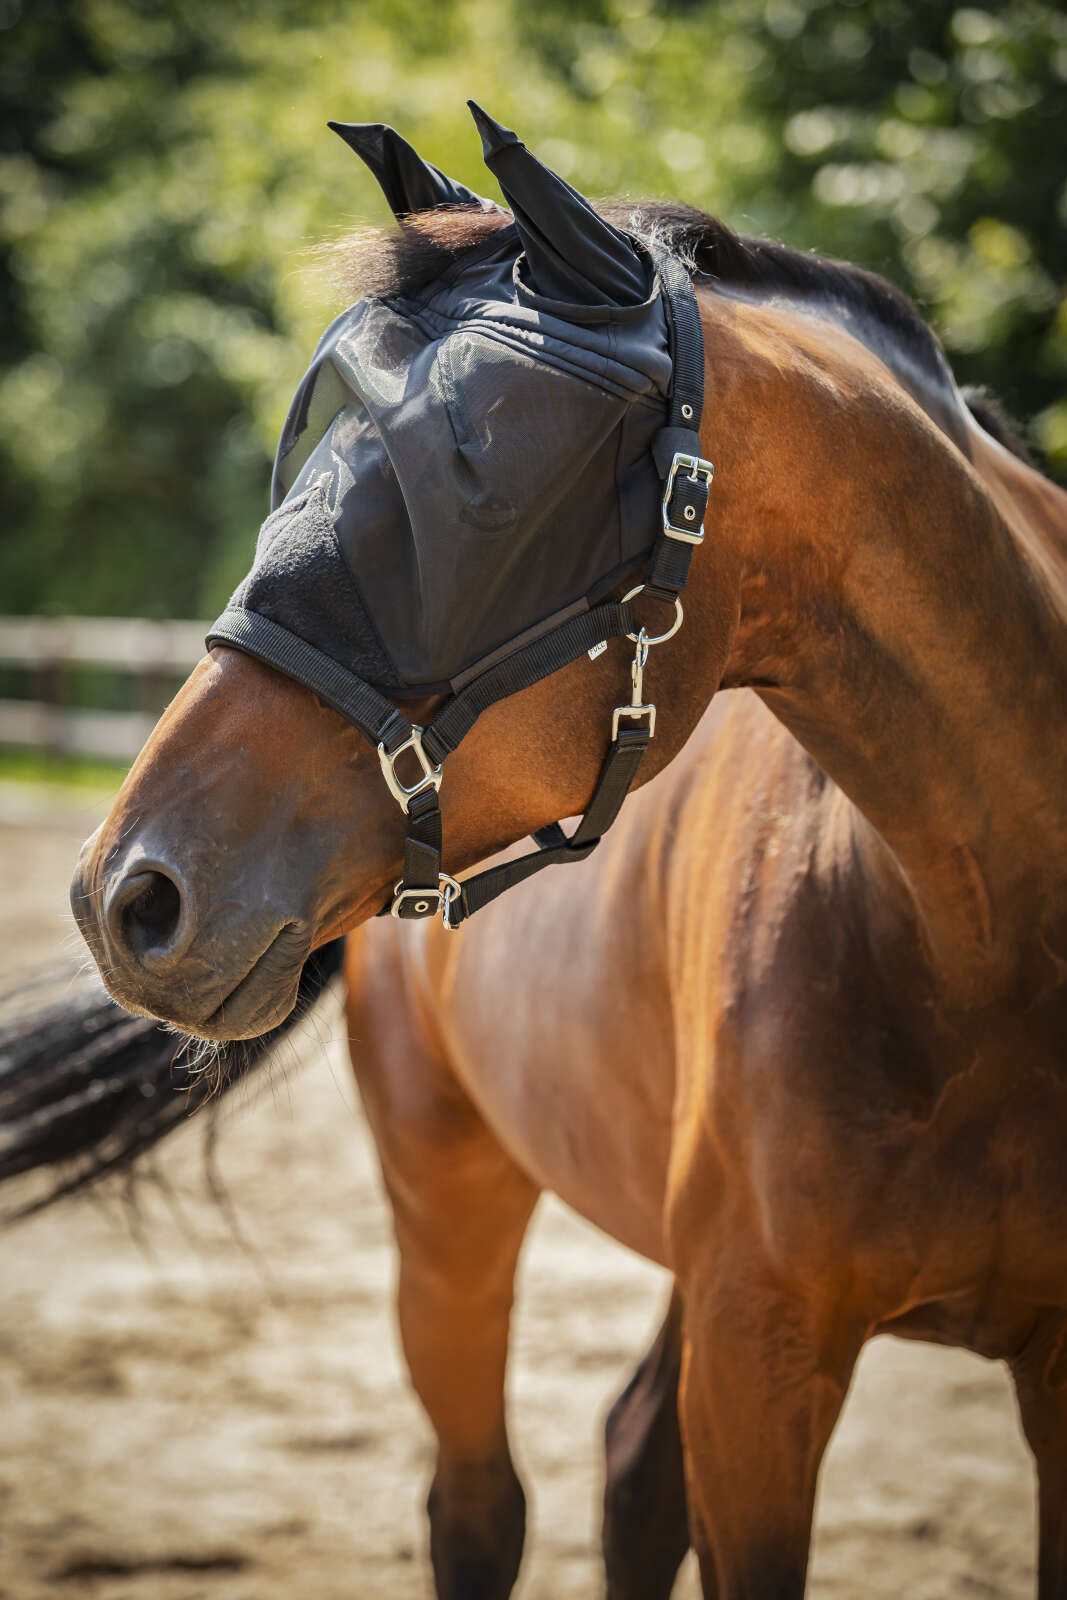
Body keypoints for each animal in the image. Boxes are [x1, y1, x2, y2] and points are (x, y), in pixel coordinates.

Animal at [4, 106, 1067, 1598]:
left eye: (482, 479)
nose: (131, 897)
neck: (985, 943)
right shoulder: (758, 1350)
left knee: (628, 1465)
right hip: (447, 1197)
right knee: (480, 1504)